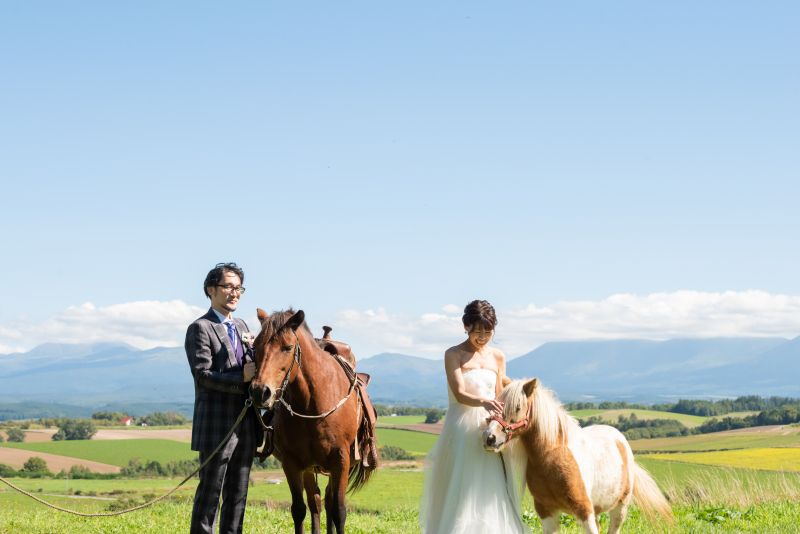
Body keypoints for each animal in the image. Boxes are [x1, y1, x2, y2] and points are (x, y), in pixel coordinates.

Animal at [249, 308, 375, 534]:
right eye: (255, 347)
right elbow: (299, 509)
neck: (313, 404)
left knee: (329, 499)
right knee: (315, 501)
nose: (259, 392)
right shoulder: (292, 463)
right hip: (309, 468)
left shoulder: (341, 460)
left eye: (288, 347)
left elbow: (339, 510)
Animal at [482, 378, 674, 534]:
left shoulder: (584, 510)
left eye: (518, 407)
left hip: (621, 506)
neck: (552, 457)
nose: (489, 438)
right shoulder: (546, 511)